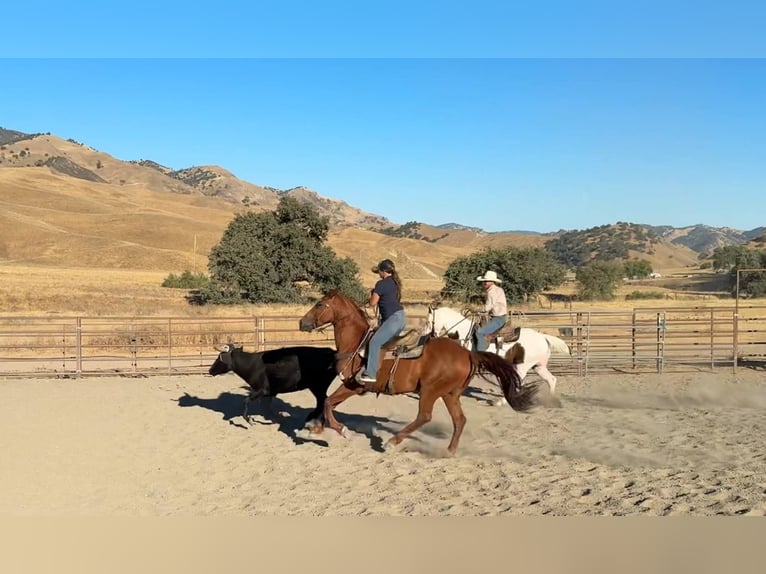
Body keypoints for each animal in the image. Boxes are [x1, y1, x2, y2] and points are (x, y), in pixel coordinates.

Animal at [298, 289, 538, 456]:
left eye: (320, 304)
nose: (302, 322)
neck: (357, 343)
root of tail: (468, 354)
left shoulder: (354, 385)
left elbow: (328, 403)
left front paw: (341, 430)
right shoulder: (349, 386)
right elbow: (328, 402)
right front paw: (314, 427)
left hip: (431, 390)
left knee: (425, 416)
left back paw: (392, 442)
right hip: (449, 394)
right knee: (459, 420)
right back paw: (449, 451)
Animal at [424, 304, 571, 403]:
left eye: (428, 321)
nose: (427, 335)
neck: (465, 333)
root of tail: (543, 337)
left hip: (522, 366)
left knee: (519, 380)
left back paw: (502, 401)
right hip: (538, 366)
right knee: (551, 379)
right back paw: (550, 399)